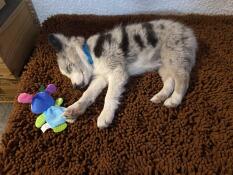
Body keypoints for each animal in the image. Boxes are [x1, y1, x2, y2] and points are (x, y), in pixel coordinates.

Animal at [48, 19, 198, 129]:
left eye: (69, 67)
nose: (75, 87)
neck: (91, 55)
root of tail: (189, 33)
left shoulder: (117, 72)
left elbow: (109, 96)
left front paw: (105, 116)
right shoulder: (101, 77)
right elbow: (88, 94)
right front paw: (74, 109)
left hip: (174, 56)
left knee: (183, 79)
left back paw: (174, 100)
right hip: (164, 64)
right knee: (170, 81)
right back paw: (159, 97)